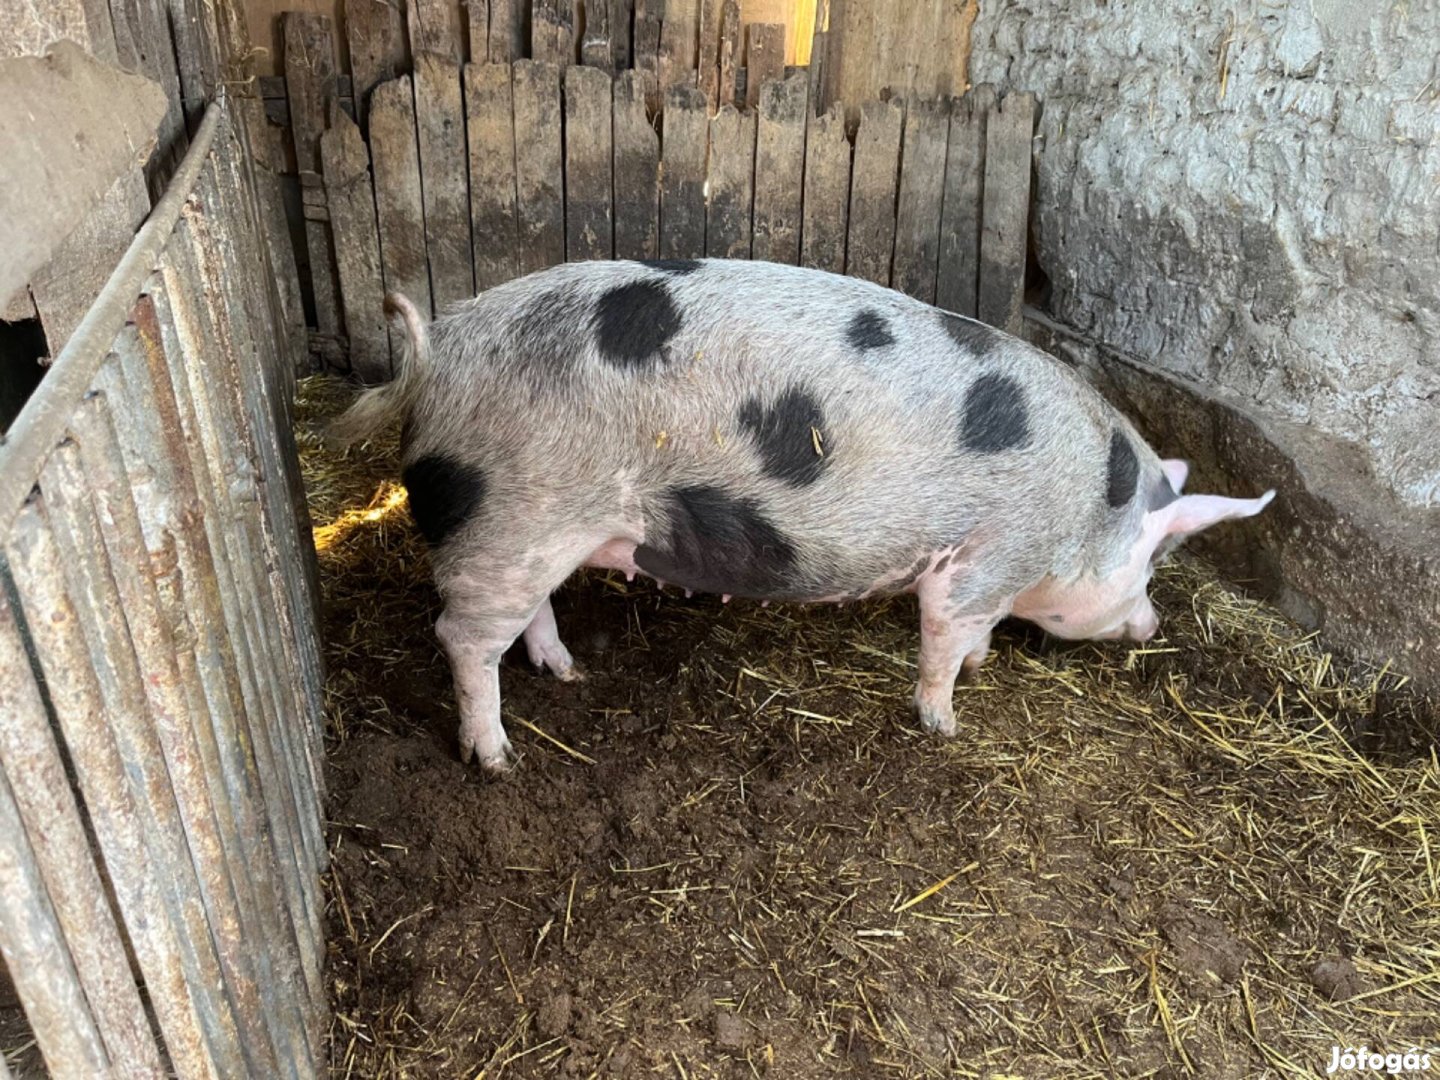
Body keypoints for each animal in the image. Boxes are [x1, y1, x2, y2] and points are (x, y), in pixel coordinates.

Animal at [334, 257, 1272, 771]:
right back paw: (497, 761)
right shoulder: (983, 555)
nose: (1151, 624)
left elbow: (975, 636)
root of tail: (435, 353)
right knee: (461, 637)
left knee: (526, 616)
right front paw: (946, 722)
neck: (1086, 509)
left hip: (538, 529)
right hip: (511, 513)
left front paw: (980, 670)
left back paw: (569, 675)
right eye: (1152, 563)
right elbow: (944, 637)